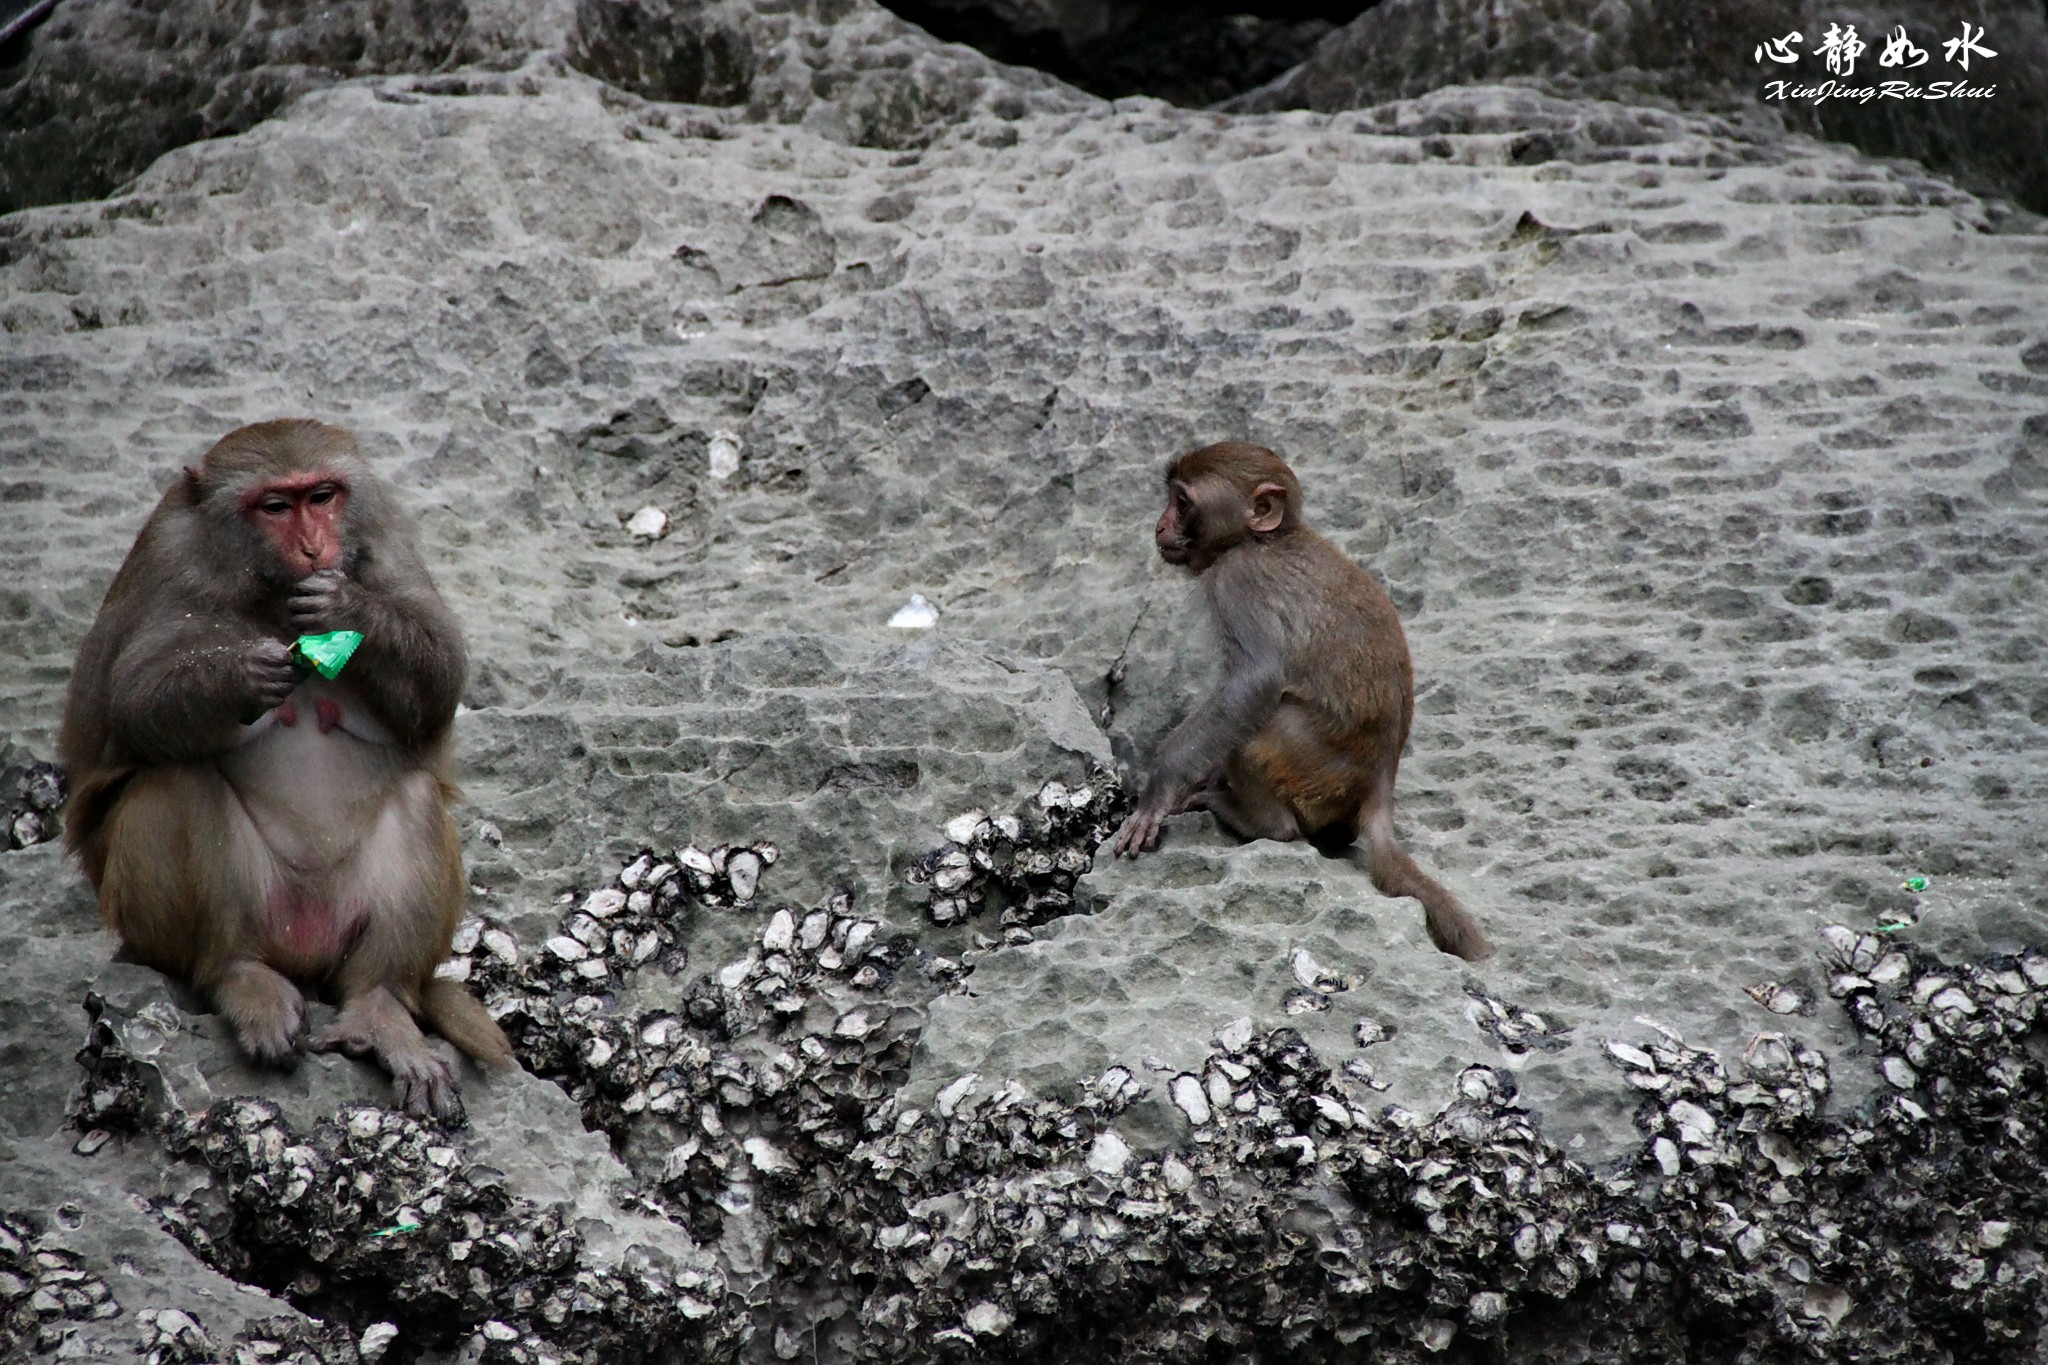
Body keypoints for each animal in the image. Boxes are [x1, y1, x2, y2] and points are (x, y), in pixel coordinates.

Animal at [65, 419, 516, 1121]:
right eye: (275, 506)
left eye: (322, 497)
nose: (313, 547)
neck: (268, 586)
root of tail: (303, 949)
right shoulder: (170, 555)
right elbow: (136, 700)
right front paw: (241, 675)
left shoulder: (383, 533)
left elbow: (439, 678)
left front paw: (348, 610)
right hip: (200, 923)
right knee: (178, 780)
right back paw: (239, 976)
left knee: (414, 798)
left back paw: (380, 1006)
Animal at [1122, 439, 1490, 961]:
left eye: (1182, 502)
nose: (1159, 525)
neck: (1261, 541)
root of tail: (1382, 777)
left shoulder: (1239, 579)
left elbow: (1254, 681)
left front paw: (1160, 789)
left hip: (1310, 764)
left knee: (1261, 735)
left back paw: (1257, 820)